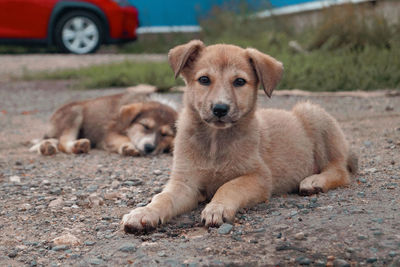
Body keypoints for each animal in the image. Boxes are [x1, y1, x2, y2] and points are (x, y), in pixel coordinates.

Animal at [28, 92, 177, 157]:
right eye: (145, 126)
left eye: (165, 134)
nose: (149, 148)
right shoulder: (110, 134)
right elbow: (124, 139)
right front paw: (128, 147)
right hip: (75, 113)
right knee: (63, 142)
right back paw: (78, 146)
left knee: (55, 141)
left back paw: (48, 147)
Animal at [120, 40, 358, 233]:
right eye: (204, 79)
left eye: (239, 82)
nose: (220, 109)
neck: (215, 142)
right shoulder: (185, 182)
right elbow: (163, 197)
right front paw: (144, 212)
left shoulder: (259, 176)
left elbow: (229, 186)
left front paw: (217, 207)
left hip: (312, 114)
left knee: (340, 170)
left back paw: (314, 181)